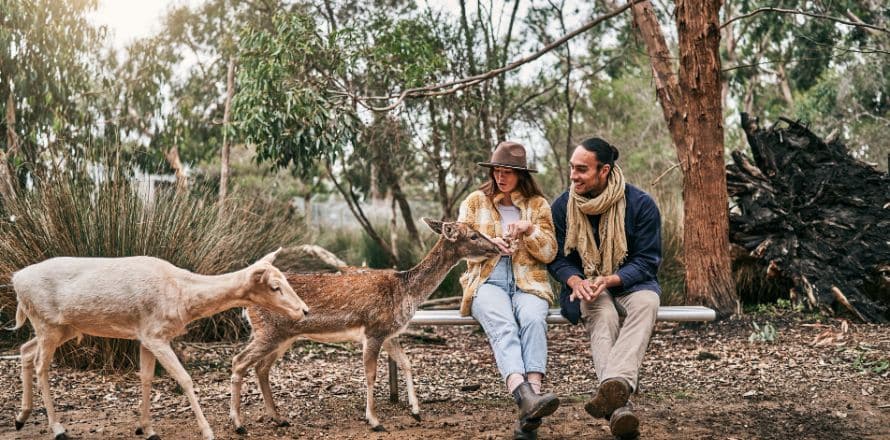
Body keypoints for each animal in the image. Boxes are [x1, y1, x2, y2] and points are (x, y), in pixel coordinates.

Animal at [227, 218, 500, 432]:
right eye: (474, 235)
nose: (496, 247)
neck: (406, 293)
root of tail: (246, 305)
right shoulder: (374, 330)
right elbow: (370, 374)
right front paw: (375, 420)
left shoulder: (390, 334)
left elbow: (407, 363)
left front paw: (416, 411)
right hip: (268, 332)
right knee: (239, 361)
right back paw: (239, 424)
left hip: (282, 336)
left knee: (261, 367)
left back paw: (278, 418)